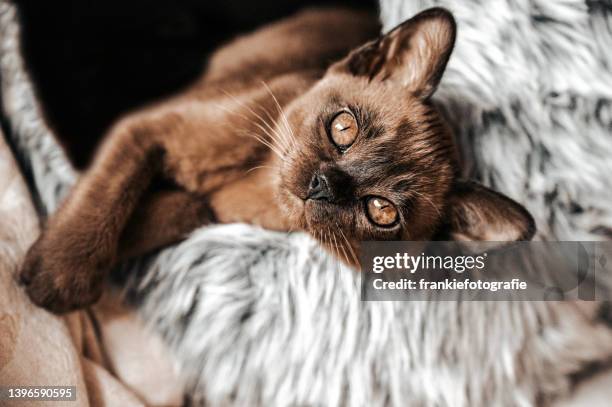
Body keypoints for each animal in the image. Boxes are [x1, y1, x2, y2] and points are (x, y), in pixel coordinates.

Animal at [19, 6, 536, 314]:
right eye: (344, 129)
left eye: (381, 211)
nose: (324, 184)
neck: (247, 183)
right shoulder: (148, 129)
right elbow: (104, 199)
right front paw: (57, 276)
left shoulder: (198, 207)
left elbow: (143, 218)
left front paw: (53, 269)